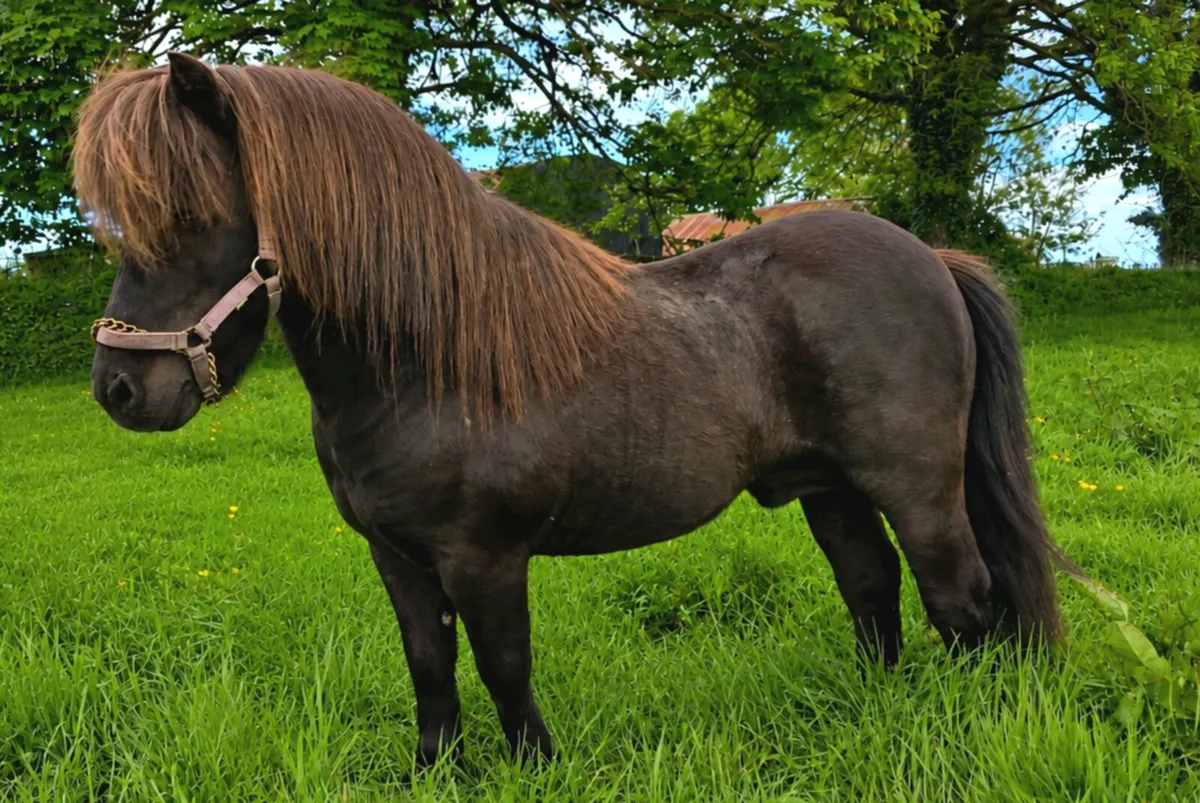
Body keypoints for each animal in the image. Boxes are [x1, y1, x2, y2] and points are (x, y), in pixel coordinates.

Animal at [77, 52, 1073, 770]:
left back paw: (969, 727)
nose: (118, 390)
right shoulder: (396, 555)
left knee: (964, 600)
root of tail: (931, 257)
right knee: (872, 586)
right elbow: (428, 663)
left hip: (918, 488)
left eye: (190, 216)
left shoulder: (484, 555)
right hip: (831, 488)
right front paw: (435, 771)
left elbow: (502, 665)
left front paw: (535, 768)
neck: (430, 361)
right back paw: (878, 712)